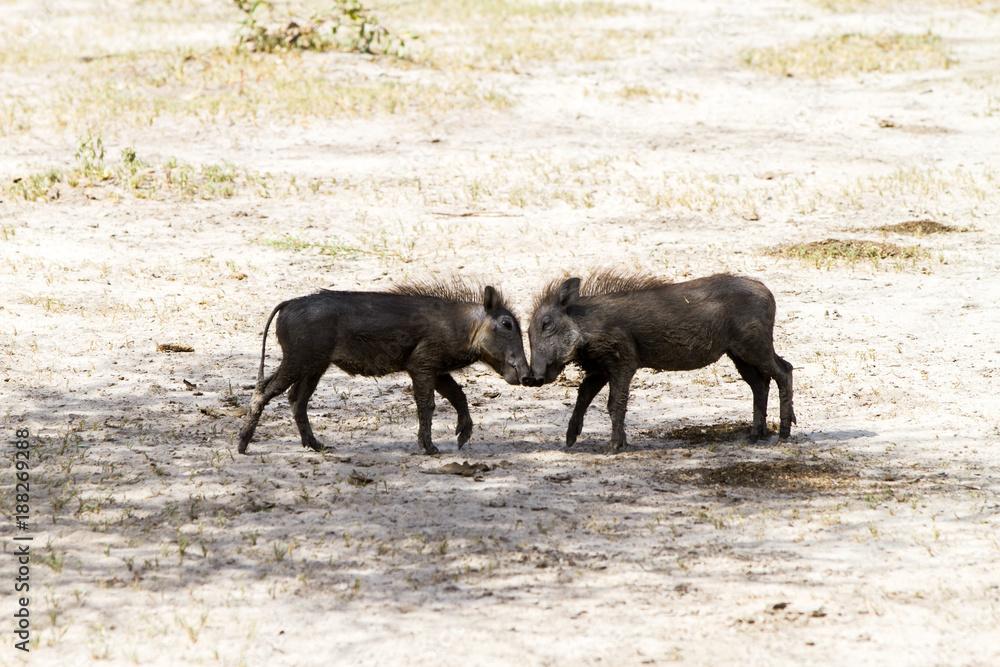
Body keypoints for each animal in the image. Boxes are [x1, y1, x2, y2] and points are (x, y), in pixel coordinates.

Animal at [238, 280, 531, 455]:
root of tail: (288, 303)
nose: (529, 376)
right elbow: (428, 406)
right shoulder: (422, 365)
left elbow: (459, 396)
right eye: (507, 324)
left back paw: (317, 446)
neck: (467, 328)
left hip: (313, 366)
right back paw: (242, 445)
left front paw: (462, 438)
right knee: (264, 391)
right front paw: (431, 449)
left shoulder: (437, 370)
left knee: (296, 399)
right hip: (299, 360)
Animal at [527, 272, 795, 452]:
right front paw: (570, 440)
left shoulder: (623, 363)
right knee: (762, 383)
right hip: (740, 354)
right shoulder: (600, 369)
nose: (533, 378)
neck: (584, 326)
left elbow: (615, 404)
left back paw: (784, 433)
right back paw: (754, 436)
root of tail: (766, 290)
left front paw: (613, 447)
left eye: (546, 323)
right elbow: (583, 398)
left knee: (783, 372)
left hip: (754, 347)